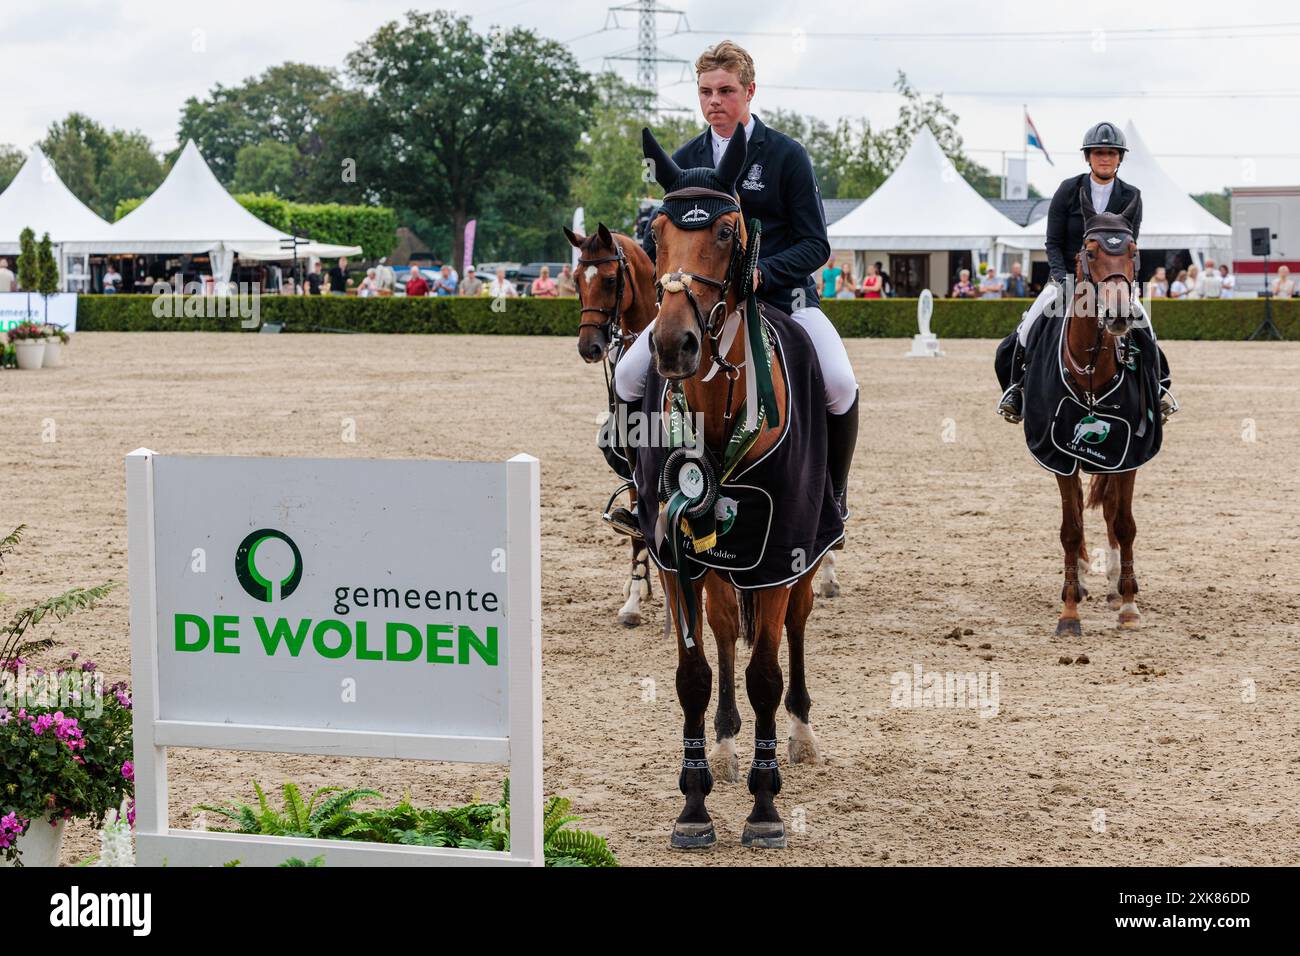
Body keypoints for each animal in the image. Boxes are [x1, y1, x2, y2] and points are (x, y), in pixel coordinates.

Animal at [639, 127, 832, 853]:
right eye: (654, 231)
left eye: (726, 231)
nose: (674, 344)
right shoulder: (675, 555)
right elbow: (695, 675)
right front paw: (694, 805)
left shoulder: (778, 556)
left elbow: (765, 676)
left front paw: (765, 807)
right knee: (725, 628)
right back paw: (722, 746)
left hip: (805, 551)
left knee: (797, 627)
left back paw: (801, 732)